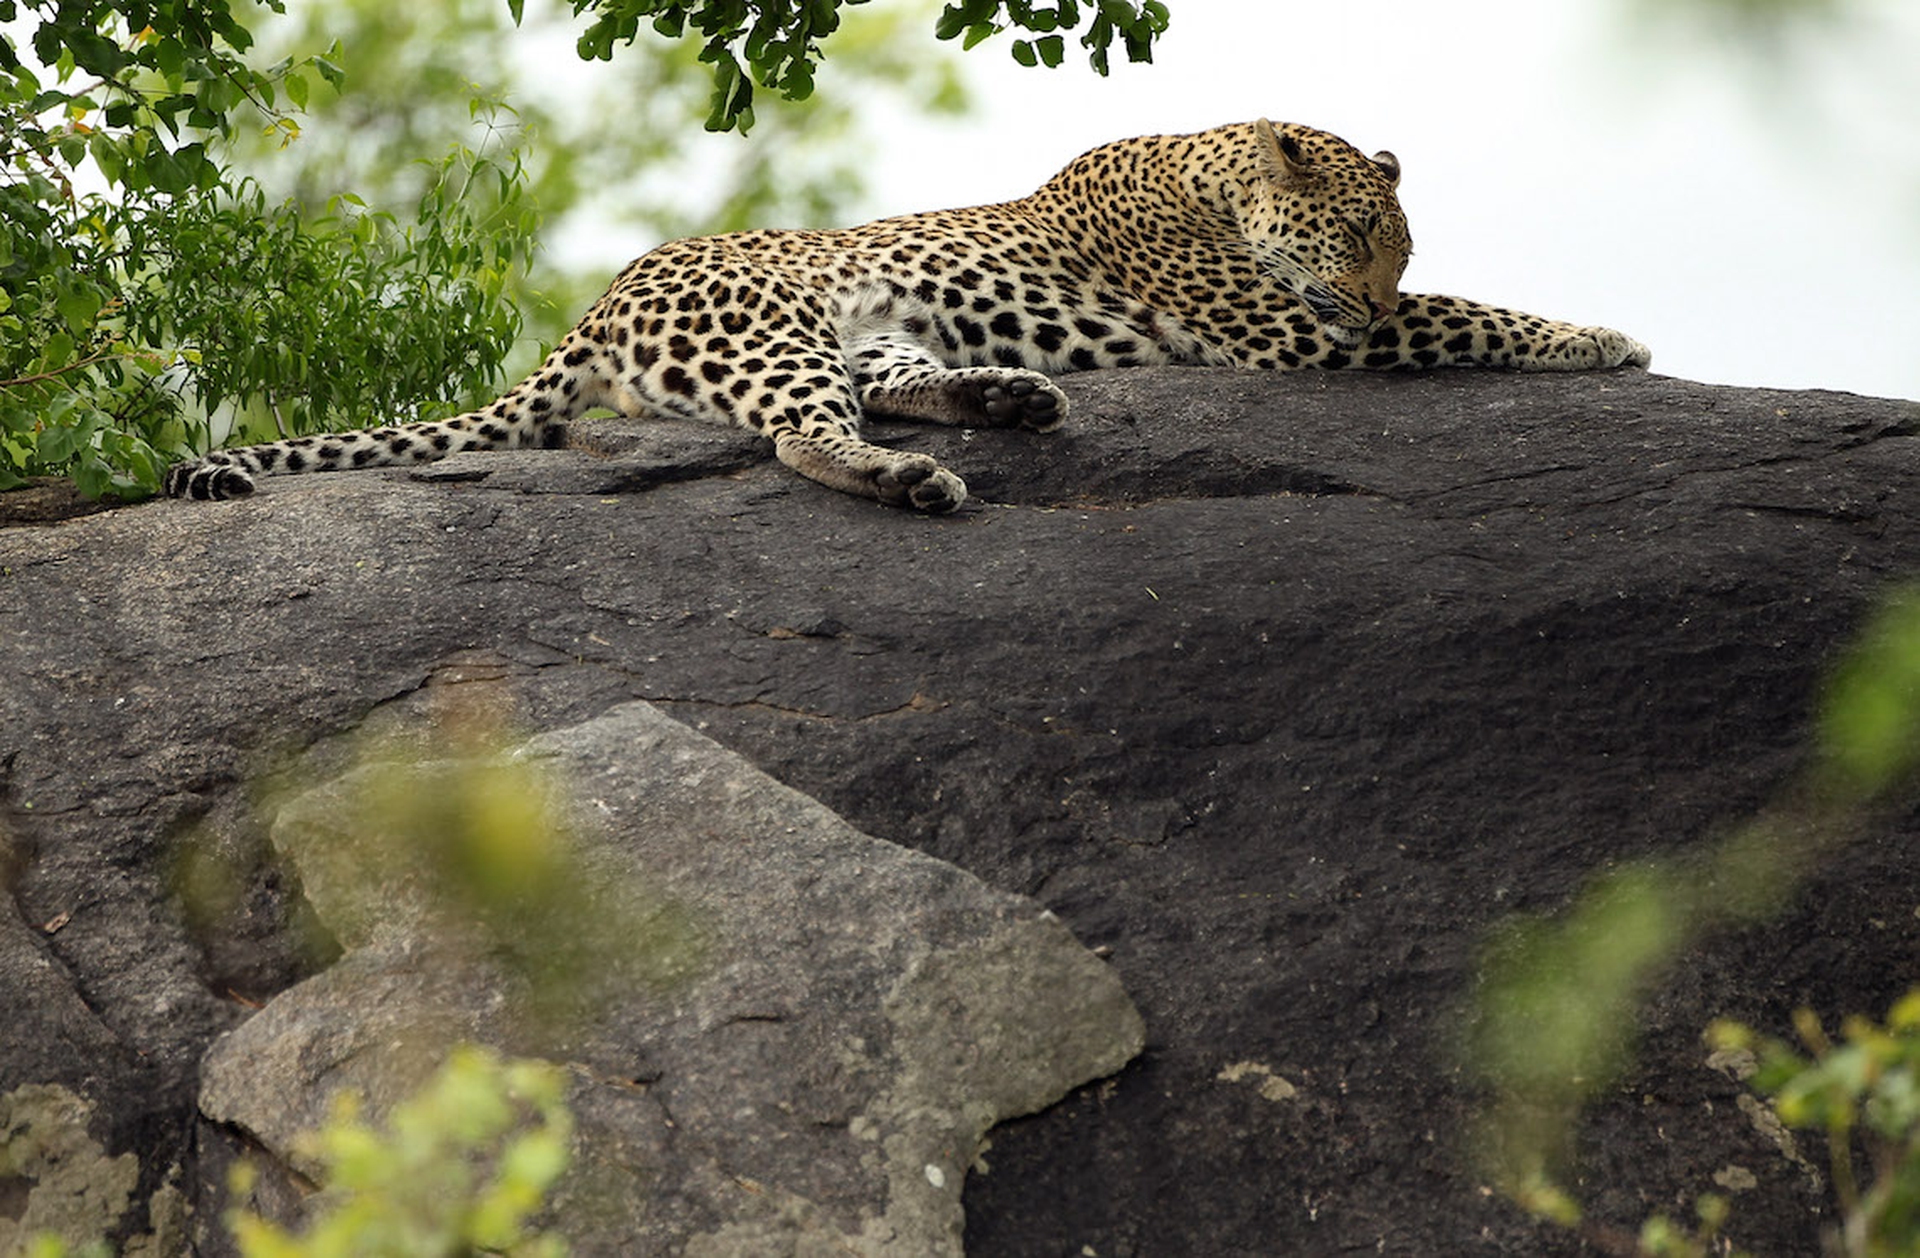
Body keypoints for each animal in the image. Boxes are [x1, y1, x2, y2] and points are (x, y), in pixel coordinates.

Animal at [164, 119, 1650, 512]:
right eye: (1353, 240)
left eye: (1396, 244)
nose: (1364, 284)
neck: (1217, 168)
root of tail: (599, 304)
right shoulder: (1287, 329)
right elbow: (1465, 318)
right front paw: (1605, 338)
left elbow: (1454, 309)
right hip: (770, 329)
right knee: (798, 440)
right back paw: (916, 479)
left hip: (862, 326)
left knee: (882, 384)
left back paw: (1010, 397)